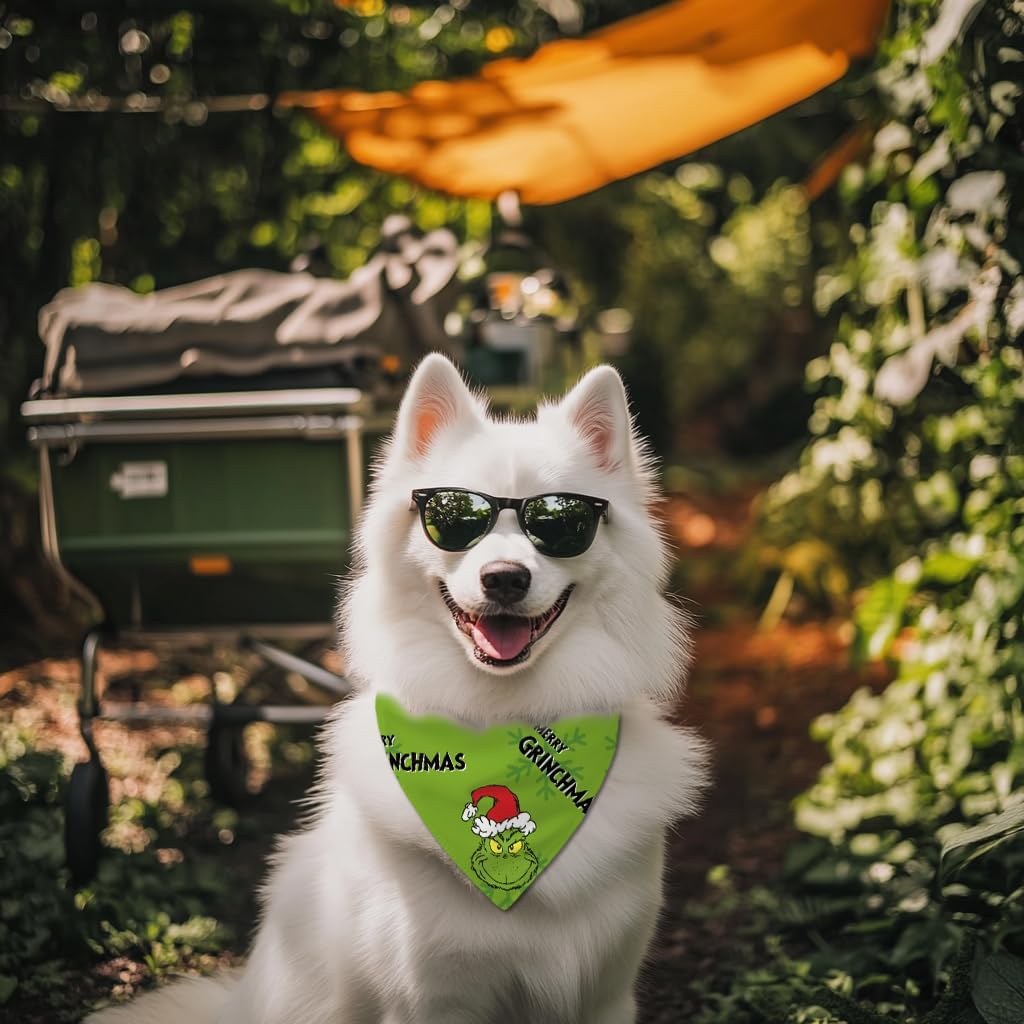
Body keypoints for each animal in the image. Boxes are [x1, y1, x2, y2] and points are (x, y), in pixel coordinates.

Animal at [92, 356, 708, 1019]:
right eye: (456, 521)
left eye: (563, 523)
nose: (505, 579)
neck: (503, 718)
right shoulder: (432, 997)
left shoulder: (604, 994)